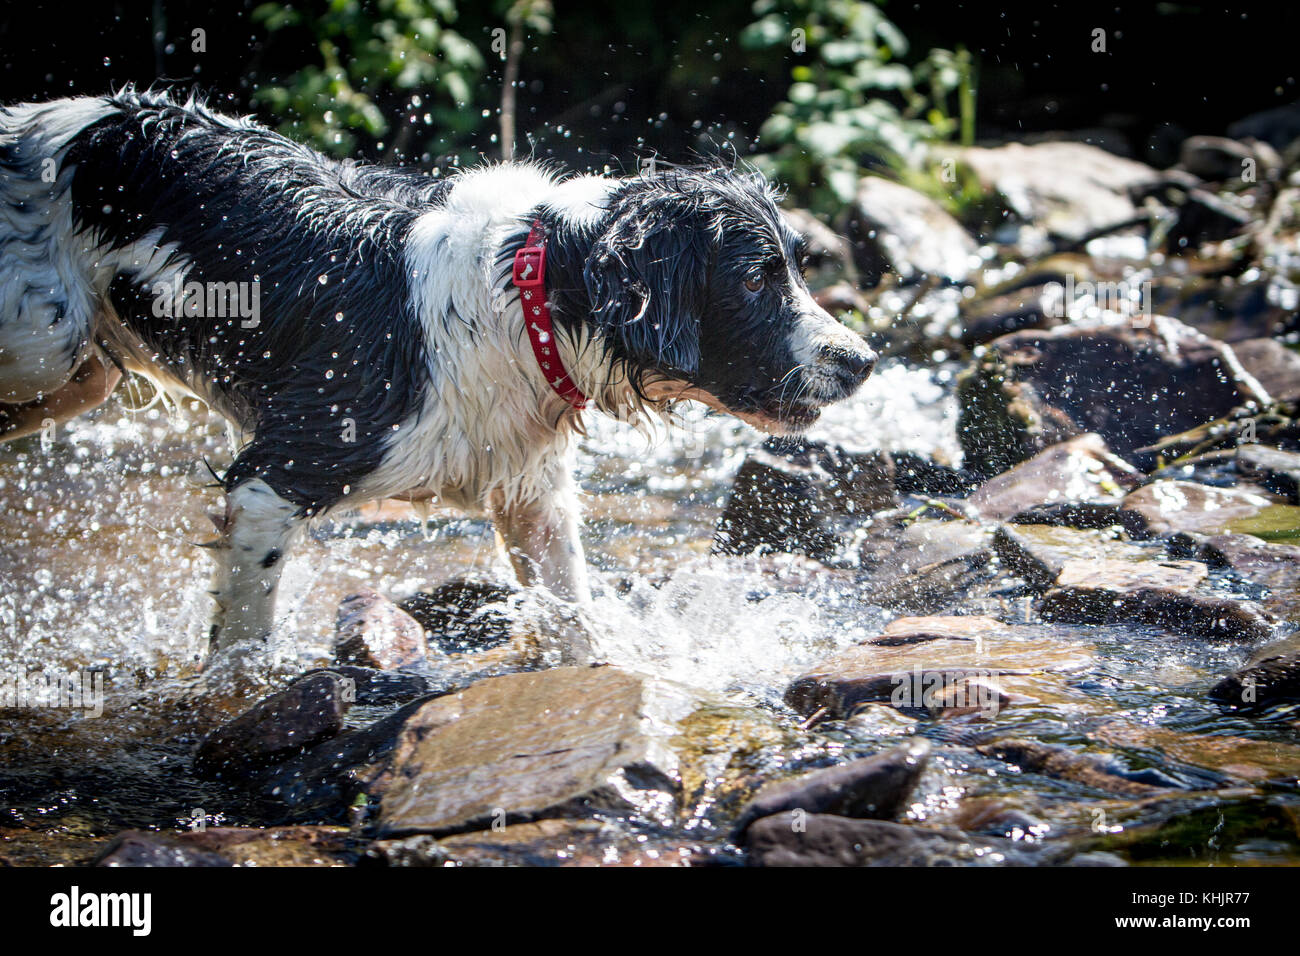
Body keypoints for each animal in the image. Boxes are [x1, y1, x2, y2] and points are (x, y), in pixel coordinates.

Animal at [0, 89, 878, 671]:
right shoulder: (278, 474)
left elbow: (572, 615)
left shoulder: (532, 495)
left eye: (798, 268)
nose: (863, 362)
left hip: (75, 379)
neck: (525, 292)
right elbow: (244, 642)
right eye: (756, 280)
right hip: (44, 348)